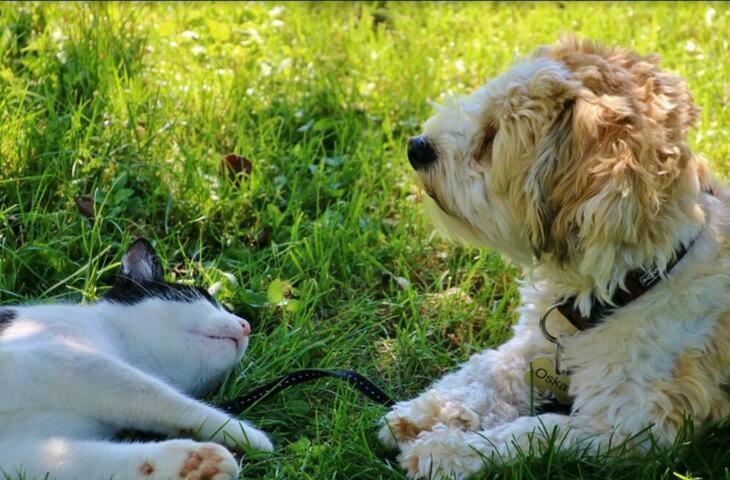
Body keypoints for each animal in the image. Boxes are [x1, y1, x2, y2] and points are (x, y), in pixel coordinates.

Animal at [0, 239, 272, 480]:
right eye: (203, 297)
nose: (246, 325)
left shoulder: (18, 454)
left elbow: (85, 462)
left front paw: (191, 464)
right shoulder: (55, 357)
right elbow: (157, 395)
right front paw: (246, 434)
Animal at [378, 38, 728, 480]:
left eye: (492, 138)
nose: (417, 147)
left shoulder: (634, 428)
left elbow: (535, 432)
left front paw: (445, 451)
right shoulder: (536, 341)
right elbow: (489, 368)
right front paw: (427, 411)